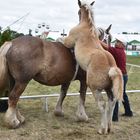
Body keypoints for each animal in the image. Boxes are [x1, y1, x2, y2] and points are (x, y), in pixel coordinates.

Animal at [64, 0, 123, 135]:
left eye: (78, 11)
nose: (78, 16)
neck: (86, 26)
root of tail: (111, 67)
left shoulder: (68, 40)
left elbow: (61, 39)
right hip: (109, 89)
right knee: (111, 103)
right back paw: (109, 127)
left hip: (95, 89)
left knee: (102, 104)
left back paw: (102, 129)